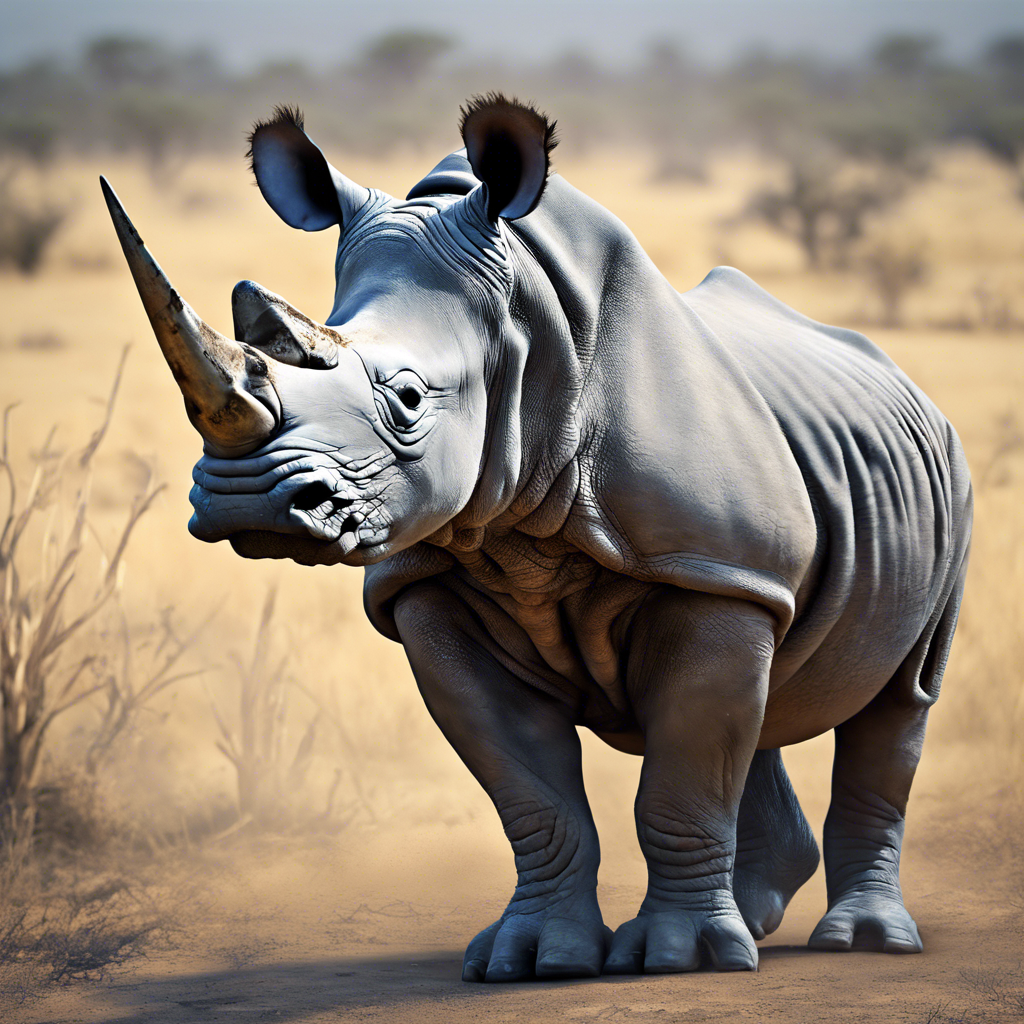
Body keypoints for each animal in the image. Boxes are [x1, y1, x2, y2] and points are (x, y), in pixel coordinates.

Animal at [101, 95, 972, 981]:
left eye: (408, 399)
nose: (248, 502)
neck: (526, 339)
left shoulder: (707, 558)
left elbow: (683, 776)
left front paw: (676, 957)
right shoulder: (433, 586)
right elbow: (535, 793)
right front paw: (533, 960)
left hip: (943, 474)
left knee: (899, 699)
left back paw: (862, 942)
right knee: (762, 686)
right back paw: (757, 919)